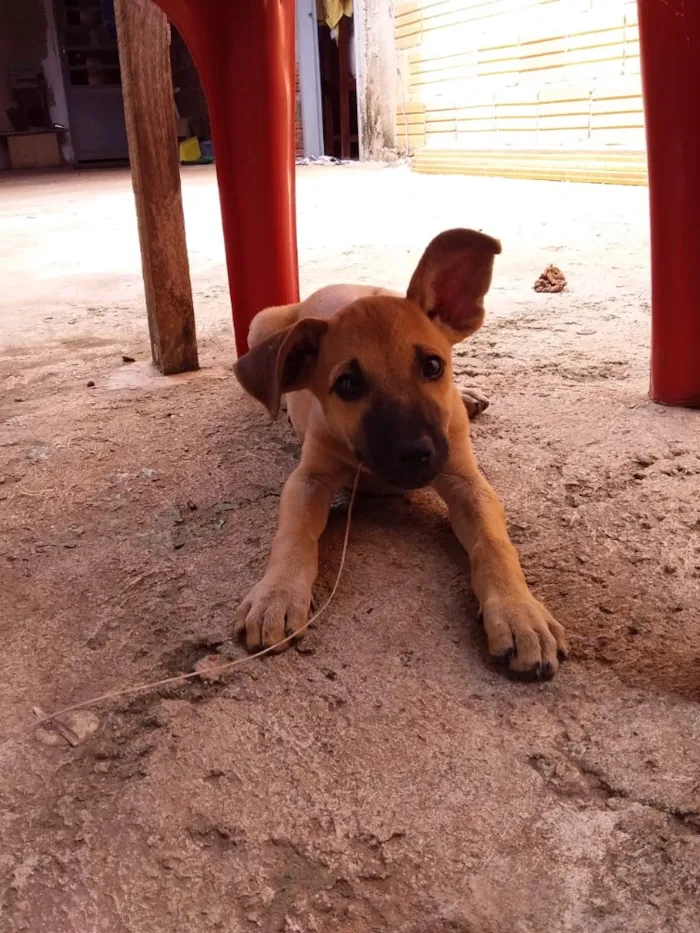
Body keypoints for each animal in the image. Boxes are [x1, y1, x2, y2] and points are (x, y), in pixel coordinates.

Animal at [232, 228, 568, 676]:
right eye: (348, 385)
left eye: (433, 366)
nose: (414, 454)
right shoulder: (308, 480)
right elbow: (294, 533)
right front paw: (278, 594)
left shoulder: (466, 480)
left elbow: (494, 543)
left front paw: (519, 613)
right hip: (261, 322)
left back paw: (466, 394)